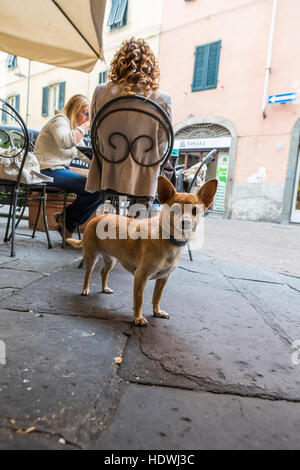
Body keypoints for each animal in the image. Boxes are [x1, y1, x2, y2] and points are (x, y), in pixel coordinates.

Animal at [67, 176, 217, 326]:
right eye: (175, 209)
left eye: (195, 211)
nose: (186, 222)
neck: (169, 240)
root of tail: (98, 217)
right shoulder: (141, 277)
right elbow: (139, 300)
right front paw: (138, 318)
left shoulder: (163, 279)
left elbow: (157, 297)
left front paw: (157, 312)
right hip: (91, 257)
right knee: (88, 274)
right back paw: (85, 289)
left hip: (111, 260)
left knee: (104, 272)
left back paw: (105, 288)